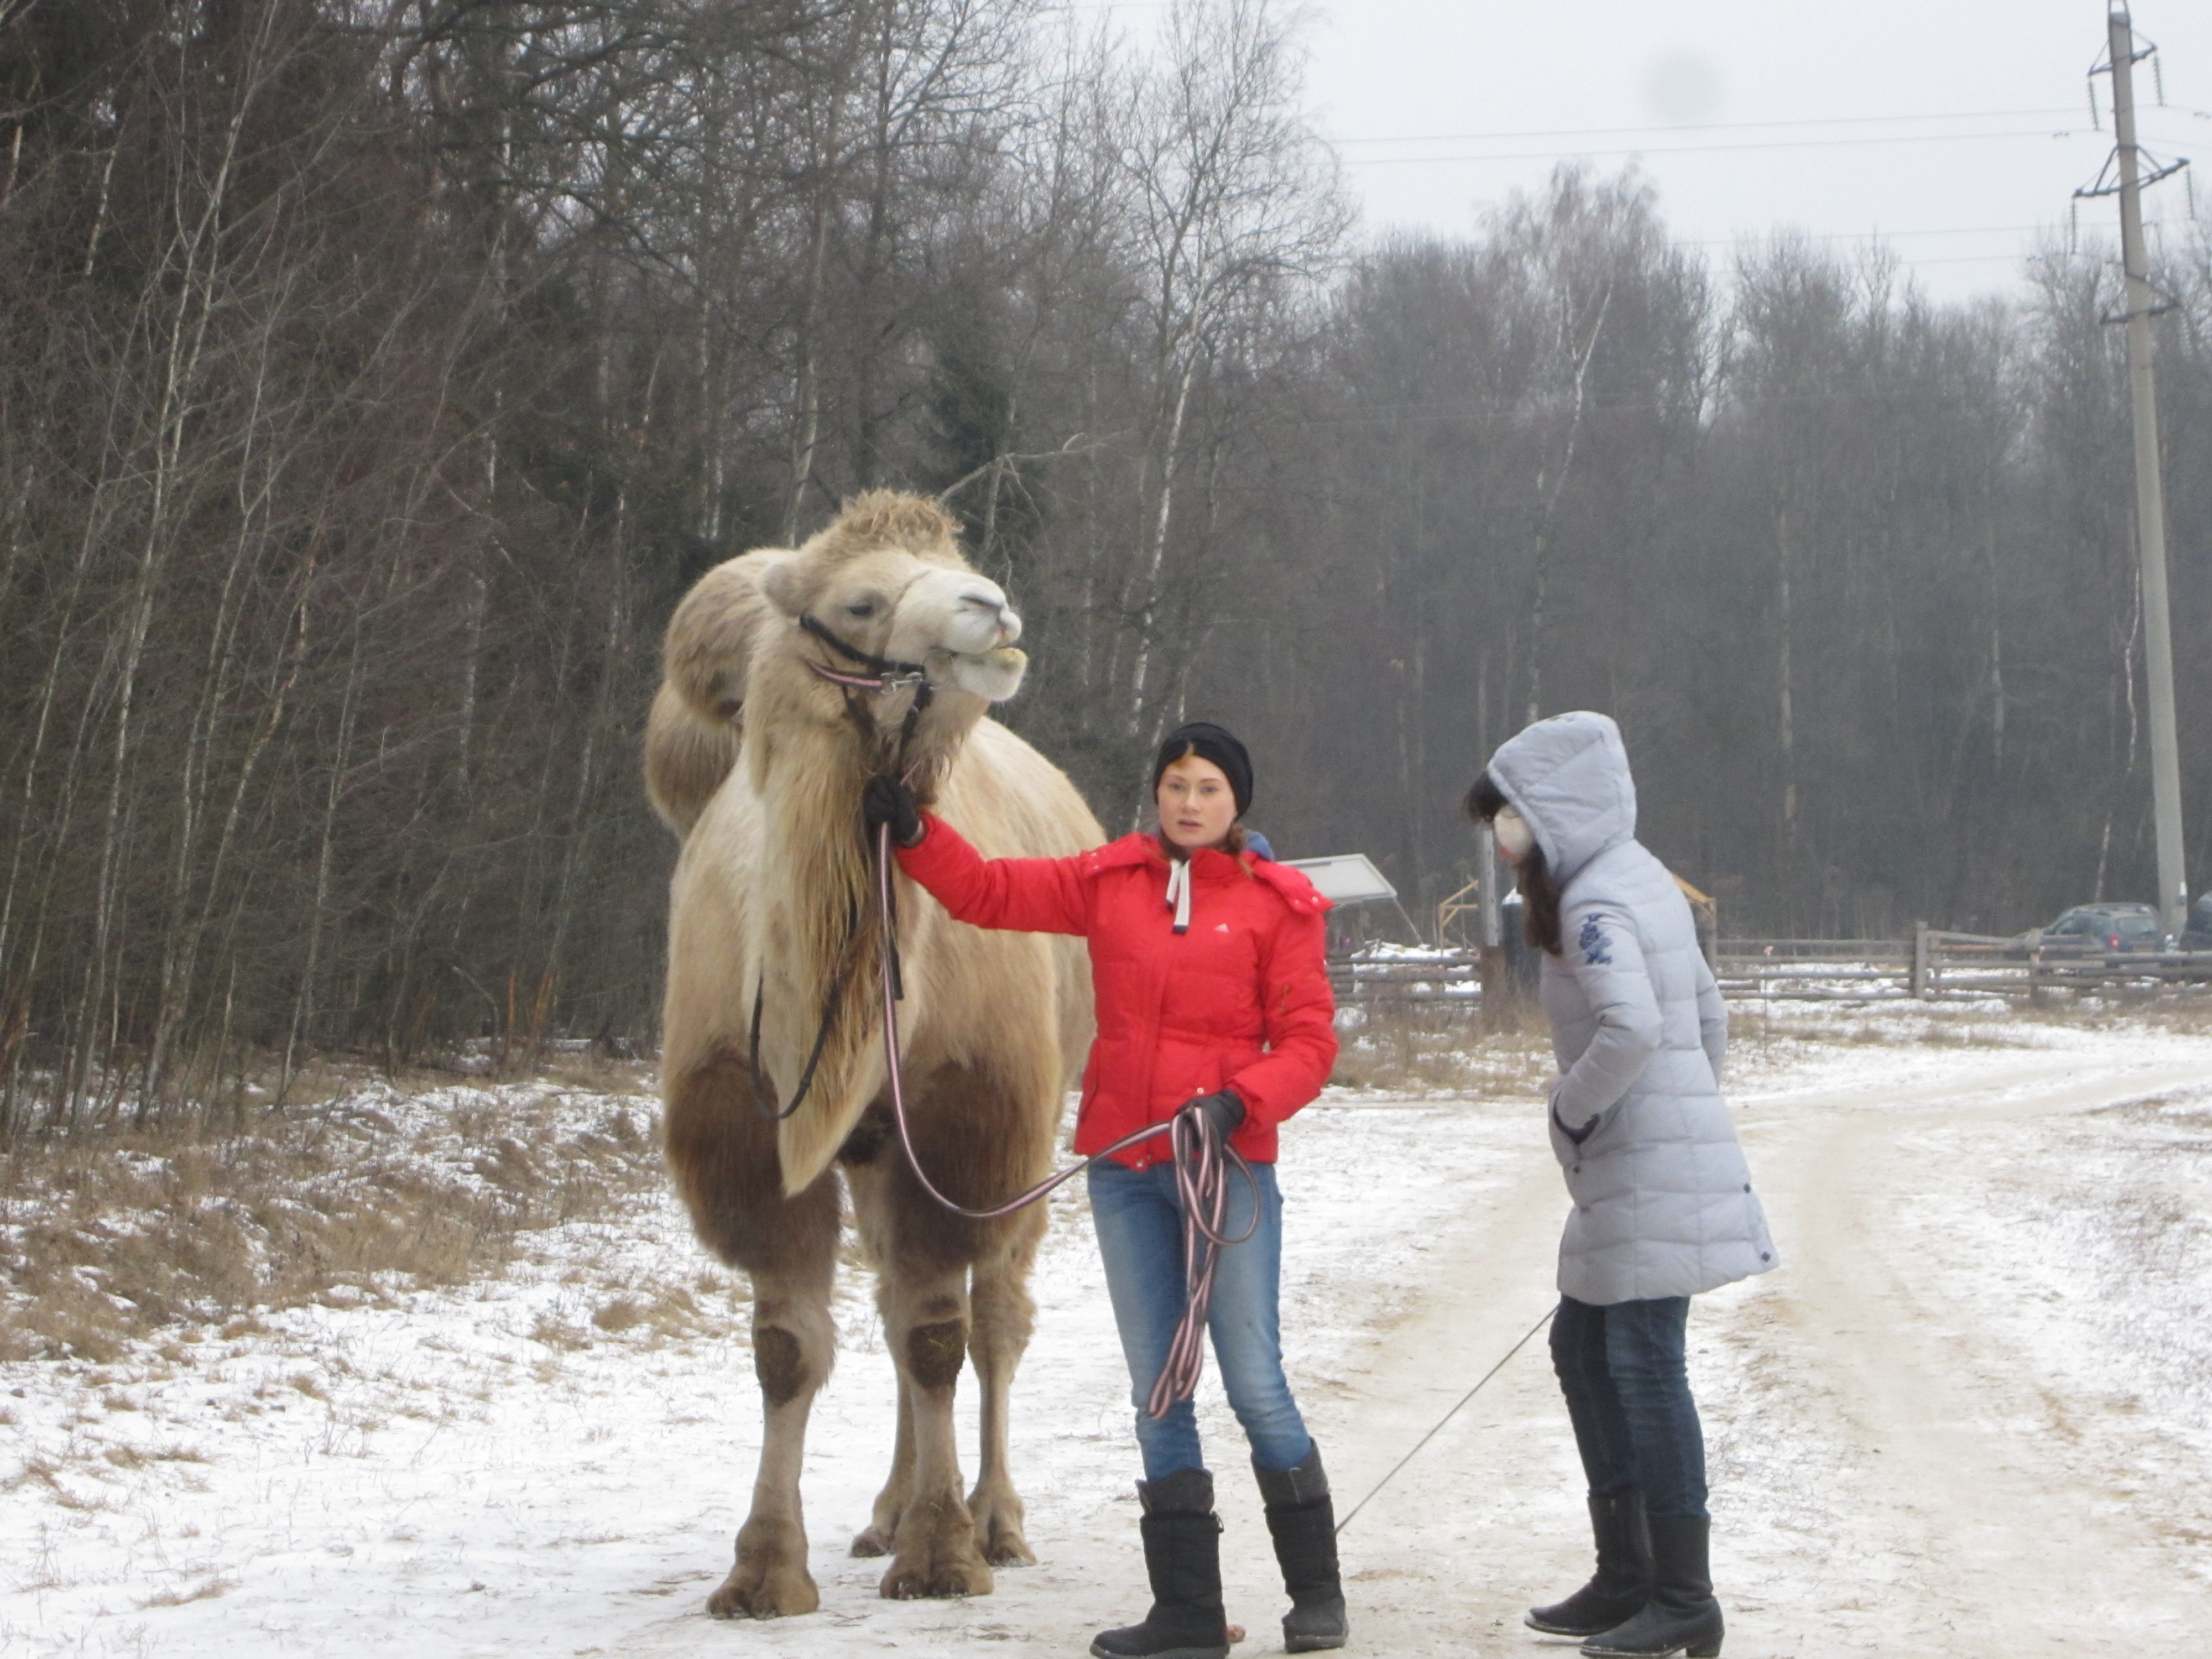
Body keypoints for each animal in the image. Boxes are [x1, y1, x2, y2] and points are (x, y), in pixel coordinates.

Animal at [647, 491, 1102, 1618]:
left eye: (951, 560)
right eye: (859, 600)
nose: (994, 608)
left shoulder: (964, 1115)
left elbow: (939, 1336)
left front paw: (943, 1555)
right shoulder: (746, 1122)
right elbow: (787, 1345)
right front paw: (765, 1570)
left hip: (1033, 1122)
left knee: (991, 1318)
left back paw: (996, 1520)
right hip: (869, 1148)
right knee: (895, 1298)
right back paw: (888, 1511)